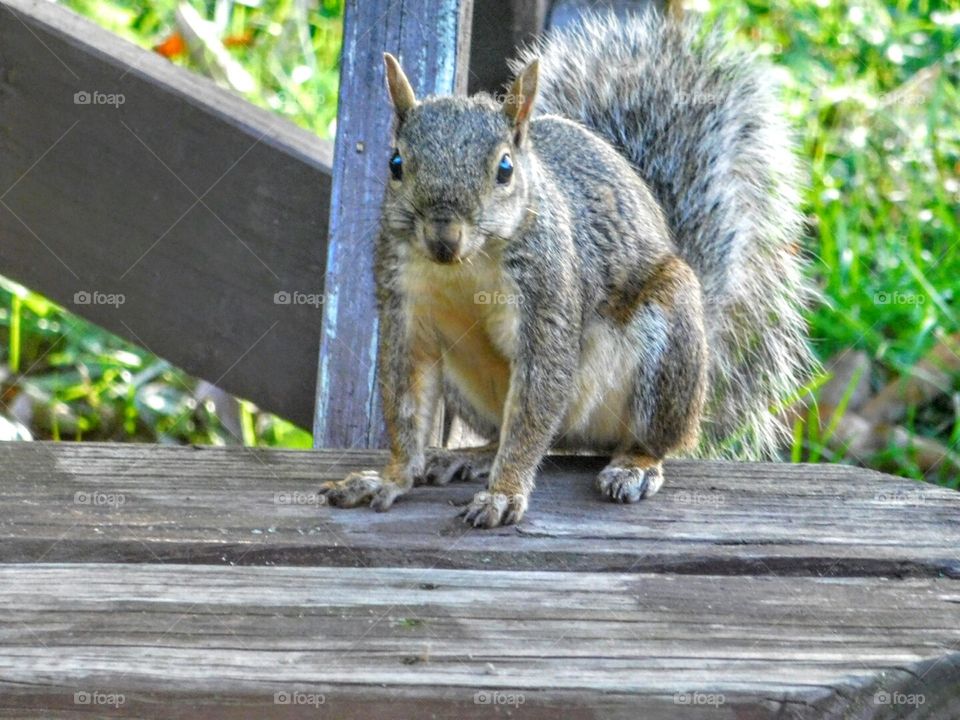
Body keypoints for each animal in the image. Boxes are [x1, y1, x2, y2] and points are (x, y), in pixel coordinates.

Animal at [319, 7, 814, 528]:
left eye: (505, 169)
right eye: (395, 163)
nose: (443, 237)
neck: (466, 266)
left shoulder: (548, 297)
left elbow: (537, 400)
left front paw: (504, 493)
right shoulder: (405, 311)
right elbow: (406, 400)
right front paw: (390, 478)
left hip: (669, 337)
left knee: (653, 438)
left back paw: (635, 464)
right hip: (467, 389)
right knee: (529, 433)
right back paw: (473, 455)